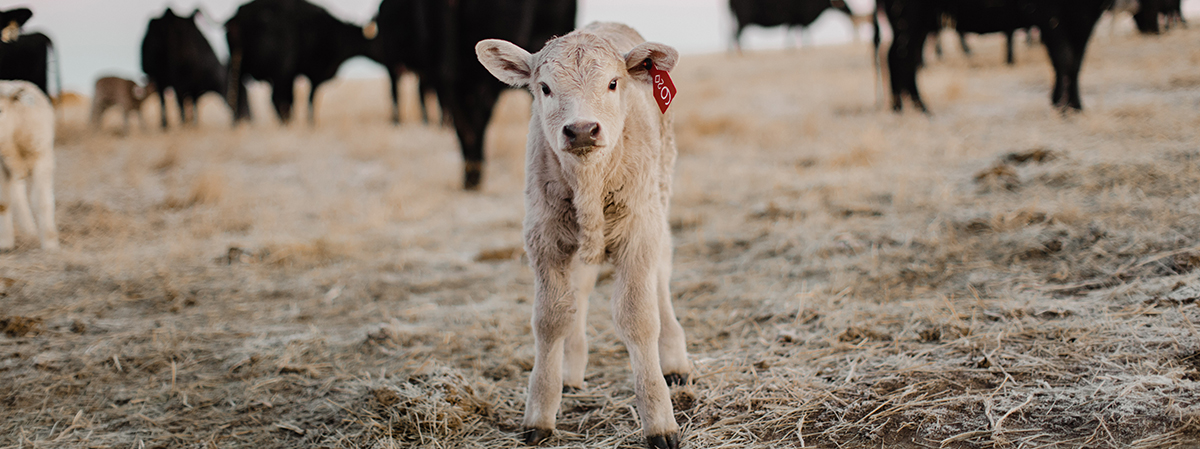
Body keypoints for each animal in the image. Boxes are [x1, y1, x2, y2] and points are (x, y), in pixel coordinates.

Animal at [0, 81, 57, 250]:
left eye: (1, 110)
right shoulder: (2, 164)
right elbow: (3, 203)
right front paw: (5, 242)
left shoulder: (43, 161)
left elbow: (42, 201)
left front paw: (50, 243)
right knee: (17, 195)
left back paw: (30, 231)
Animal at [225, 0, 376, 125]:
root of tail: (238, 16)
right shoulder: (313, 74)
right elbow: (310, 100)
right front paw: (310, 123)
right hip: (282, 70)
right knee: (277, 99)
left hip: (239, 67)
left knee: (236, 95)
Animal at [477, 22, 690, 449]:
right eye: (544, 87)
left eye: (612, 83)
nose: (580, 130)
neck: (589, 183)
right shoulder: (543, 237)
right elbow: (550, 318)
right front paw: (540, 413)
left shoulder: (639, 229)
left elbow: (638, 317)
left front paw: (660, 421)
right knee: (581, 286)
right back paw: (571, 370)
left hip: (659, 196)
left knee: (660, 274)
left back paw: (675, 361)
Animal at [876, 0, 1110, 113]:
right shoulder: (1048, 16)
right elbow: (1064, 58)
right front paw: (1064, 106)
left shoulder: (1087, 17)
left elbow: (1076, 62)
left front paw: (1074, 105)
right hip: (907, 19)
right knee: (899, 58)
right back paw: (916, 107)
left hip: (920, 23)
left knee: (902, 59)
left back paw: (905, 106)